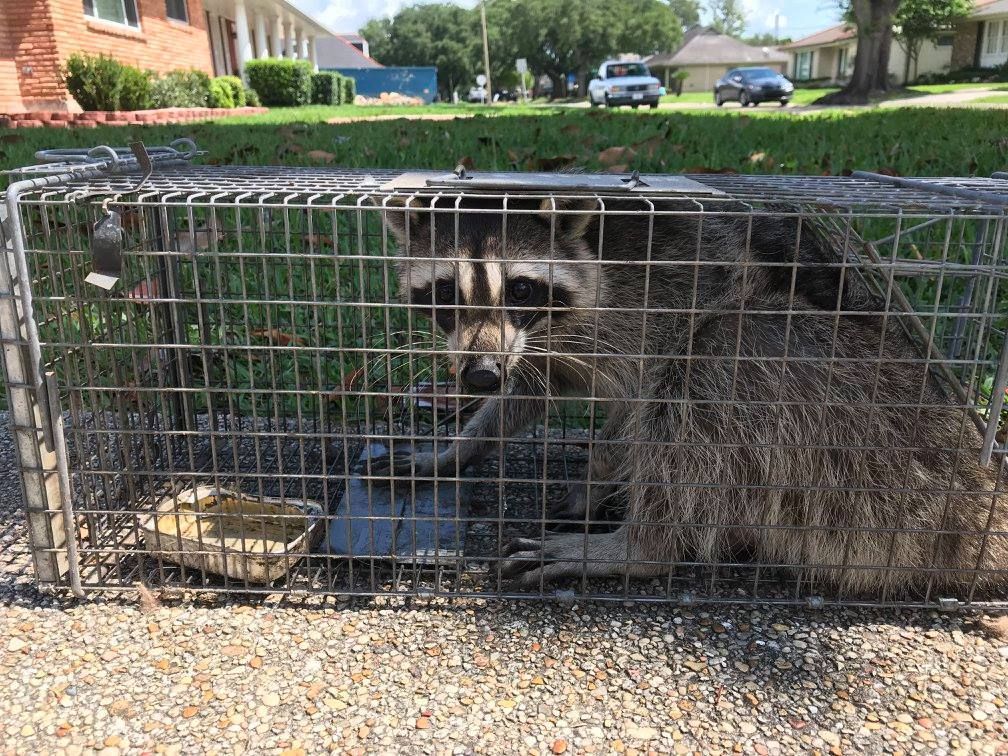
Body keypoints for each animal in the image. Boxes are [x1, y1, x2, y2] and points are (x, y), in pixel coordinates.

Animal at [376, 193, 1007, 595]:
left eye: (522, 288)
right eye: (443, 292)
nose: (478, 375)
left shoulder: (663, 302)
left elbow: (643, 405)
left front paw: (597, 473)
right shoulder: (533, 349)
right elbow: (526, 393)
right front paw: (455, 448)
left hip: (859, 418)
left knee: (705, 374)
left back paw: (634, 547)